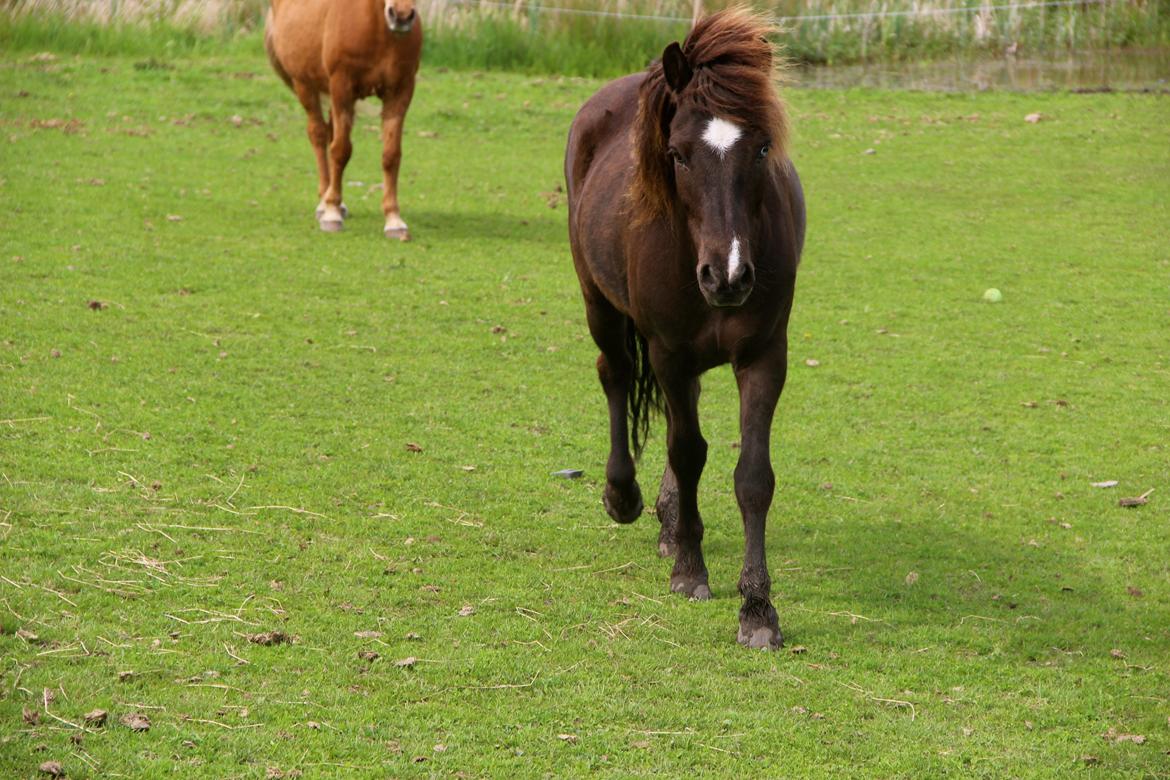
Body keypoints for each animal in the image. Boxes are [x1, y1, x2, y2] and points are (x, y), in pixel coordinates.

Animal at [267, 0, 423, 238]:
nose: (401, 16)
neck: (377, 29)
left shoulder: (401, 91)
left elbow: (391, 155)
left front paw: (394, 220)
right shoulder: (342, 87)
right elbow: (340, 150)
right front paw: (331, 214)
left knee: (330, 132)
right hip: (305, 85)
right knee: (318, 135)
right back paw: (325, 203)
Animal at [563, 9, 804, 650]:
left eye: (762, 146)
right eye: (678, 154)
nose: (728, 275)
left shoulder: (764, 356)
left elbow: (753, 477)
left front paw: (757, 610)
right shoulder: (667, 352)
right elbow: (688, 450)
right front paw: (691, 571)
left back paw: (671, 524)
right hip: (601, 305)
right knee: (616, 375)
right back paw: (624, 495)